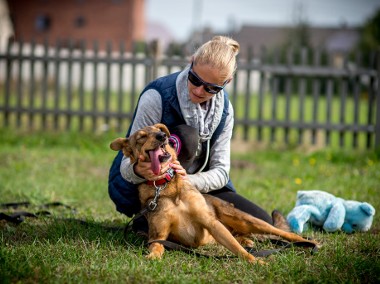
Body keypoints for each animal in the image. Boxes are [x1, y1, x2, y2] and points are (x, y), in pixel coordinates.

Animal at [110, 124, 318, 264]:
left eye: (159, 131)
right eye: (141, 137)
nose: (162, 136)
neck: (166, 185)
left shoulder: (210, 222)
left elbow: (236, 248)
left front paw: (254, 261)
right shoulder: (158, 234)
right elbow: (156, 247)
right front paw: (152, 256)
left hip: (246, 220)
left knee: (279, 232)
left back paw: (307, 242)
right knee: (242, 236)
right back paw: (247, 239)